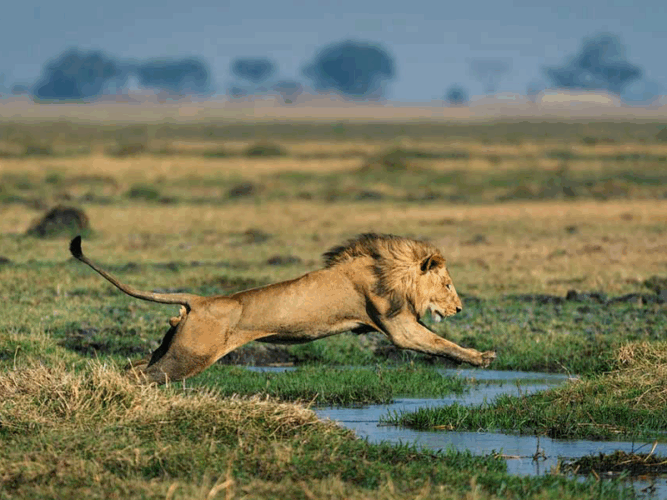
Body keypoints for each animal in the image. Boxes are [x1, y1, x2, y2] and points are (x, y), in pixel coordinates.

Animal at [69, 233, 495, 384]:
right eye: (448, 284)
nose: (459, 308)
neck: (390, 269)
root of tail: (200, 300)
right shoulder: (399, 327)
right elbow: (440, 344)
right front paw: (482, 357)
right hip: (189, 356)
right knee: (143, 375)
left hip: (174, 347)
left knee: (133, 366)